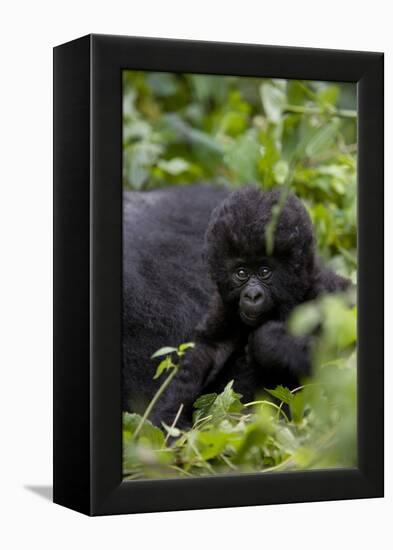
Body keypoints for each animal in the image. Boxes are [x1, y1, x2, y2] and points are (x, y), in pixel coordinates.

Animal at [151, 188, 350, 430]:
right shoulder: (223, 304)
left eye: (264, 271)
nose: (252, 295)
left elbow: (336, 358)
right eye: (241, 273)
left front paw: (268, 341)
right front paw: (168, 417)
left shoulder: (328, 291)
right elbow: (206, 351)